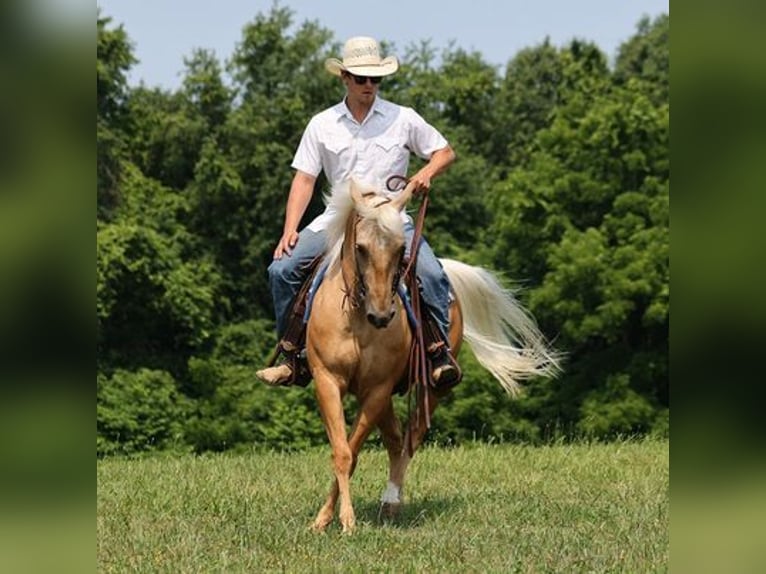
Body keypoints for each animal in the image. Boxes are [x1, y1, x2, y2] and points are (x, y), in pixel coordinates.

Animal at [308, 180, 564, 536]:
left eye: (401, 250)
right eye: (360, 248)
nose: (381, 315)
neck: (357, 319)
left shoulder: (377, 389)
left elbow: (352, 452)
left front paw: (345, 521)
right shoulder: (328, 381)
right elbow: (342, 451)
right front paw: (323, 519)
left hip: (432, 388)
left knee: (410, 440)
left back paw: (391, 501)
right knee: (396, 440)